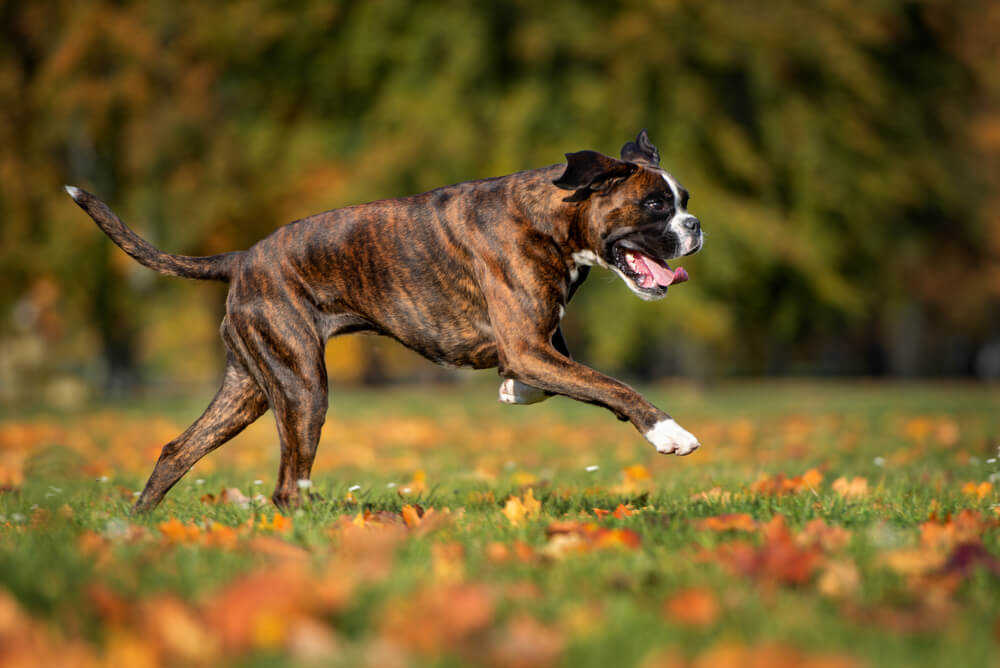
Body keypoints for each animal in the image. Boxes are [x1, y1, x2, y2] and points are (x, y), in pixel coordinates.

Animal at [64, 129, 704, 512]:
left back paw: (136, 529)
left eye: (685, 200)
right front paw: (669, 432)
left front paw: (513, 392)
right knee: (286, 486)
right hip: (302, 390)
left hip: (250, 387)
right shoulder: (528, 345)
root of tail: (242, 258)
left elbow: (564, 380)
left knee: (178, 450)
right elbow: (610, 384)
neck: (553, 215)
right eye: (655, 205)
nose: (695, 226)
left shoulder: (536, 344)